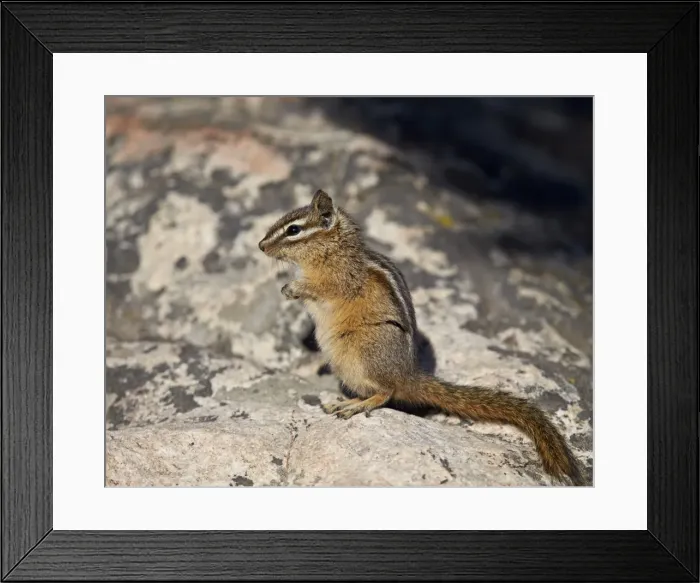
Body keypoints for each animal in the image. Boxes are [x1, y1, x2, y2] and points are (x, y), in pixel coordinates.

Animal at [259, 189, 585, 486]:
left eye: (293, 230)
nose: (261, 246)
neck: (333, 249)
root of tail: (409, 375)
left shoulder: (338, 280)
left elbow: (321, 288)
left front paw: (292, 288)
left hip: (365, 352)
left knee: (386, 393)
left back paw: (356, 405)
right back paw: (342, 401)